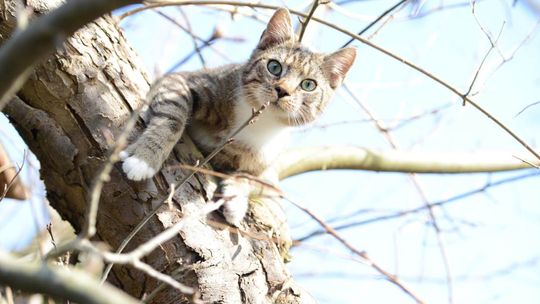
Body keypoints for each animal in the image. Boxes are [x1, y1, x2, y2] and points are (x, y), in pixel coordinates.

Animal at [123, 7, 358, 226]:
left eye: (308, 85)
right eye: (274, 66)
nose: (282, 90)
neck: (259, 121)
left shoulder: (264, 163)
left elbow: (250, 177)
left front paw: (236, 198)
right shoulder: (182, 80)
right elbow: (172, 117)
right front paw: (144, 159)